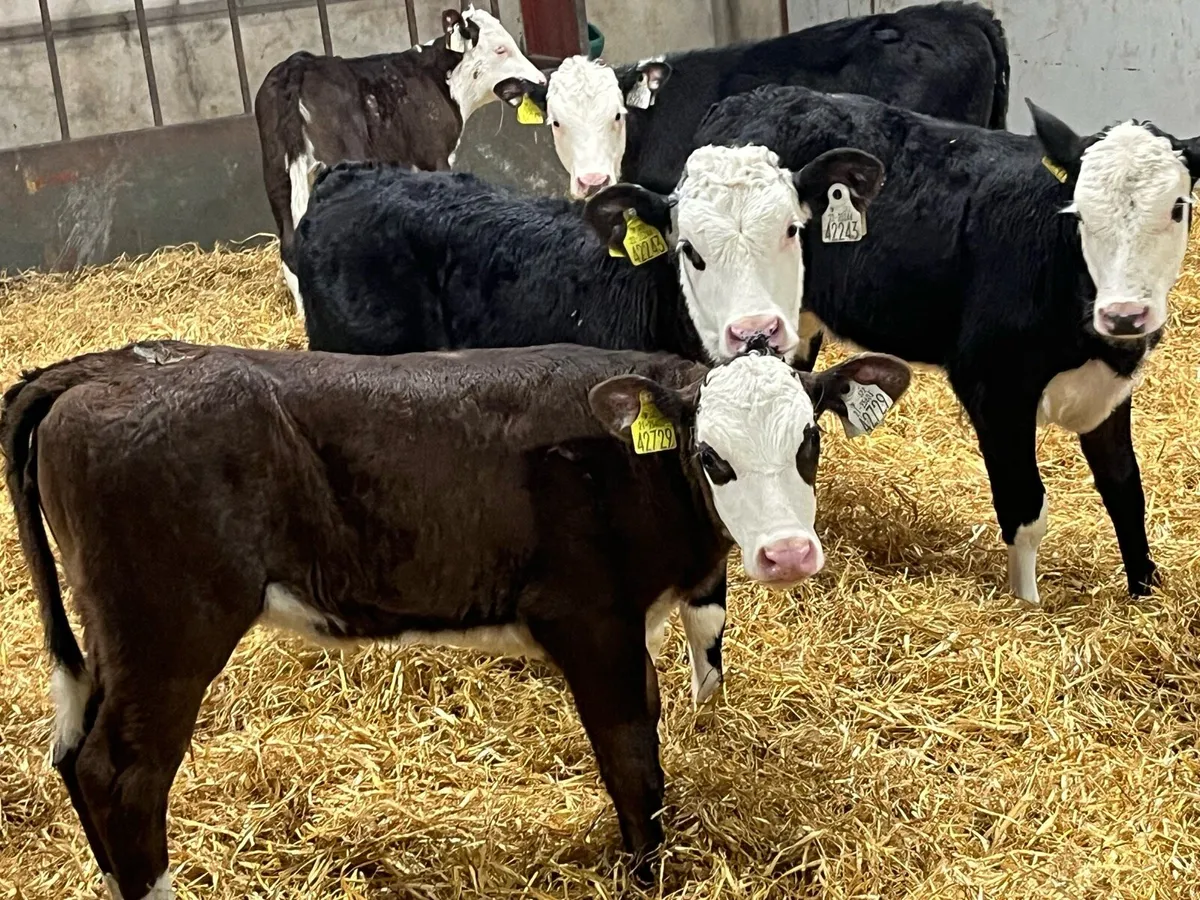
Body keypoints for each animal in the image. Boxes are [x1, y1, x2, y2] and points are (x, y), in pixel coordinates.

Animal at [3, 339, 912, 899]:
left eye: (809, 442)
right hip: (169, 630)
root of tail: (102, 367)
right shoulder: (590, 621)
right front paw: (647, 873)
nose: (788, 553)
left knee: (76, 755)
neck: (627, 465)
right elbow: (632, 758)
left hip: (111, 637)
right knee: (120, 774)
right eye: (710, 456)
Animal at [253, 6, 544, 317]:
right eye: (501, 49)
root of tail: (297, 65)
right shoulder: (434, 156)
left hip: (275, 175)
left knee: (289, 247)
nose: (541, 80)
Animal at [689, 84, 1200, 606]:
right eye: (1080, 216)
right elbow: (1025, 509)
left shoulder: (1108, 390)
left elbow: (1125, 488)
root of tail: (757, 96)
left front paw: (1145, 591)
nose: (1124, 314)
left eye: (1178, 207)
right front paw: (1027, 607)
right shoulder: (993, 387)